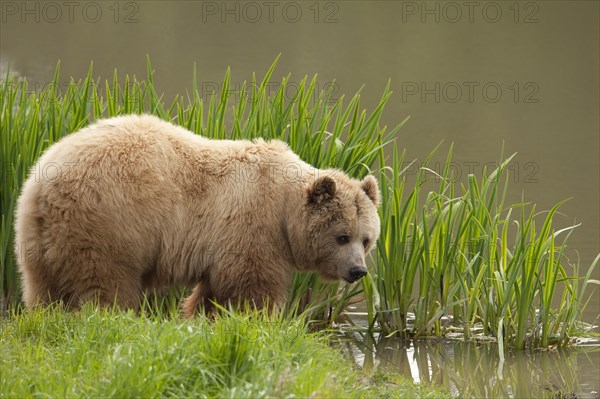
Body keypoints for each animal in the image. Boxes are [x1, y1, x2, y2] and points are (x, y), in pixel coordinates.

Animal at [14, 115, 380, 316]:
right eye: (342, 236)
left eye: (367, 239)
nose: (358, 270)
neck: (284, 212)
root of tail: (43, 184)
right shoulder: (253, 226)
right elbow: (251, 287)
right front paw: (256, 321)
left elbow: (213, 292)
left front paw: (201, 316)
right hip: (107, 223)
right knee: (105, 285)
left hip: (37, 241)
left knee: (42, 291)